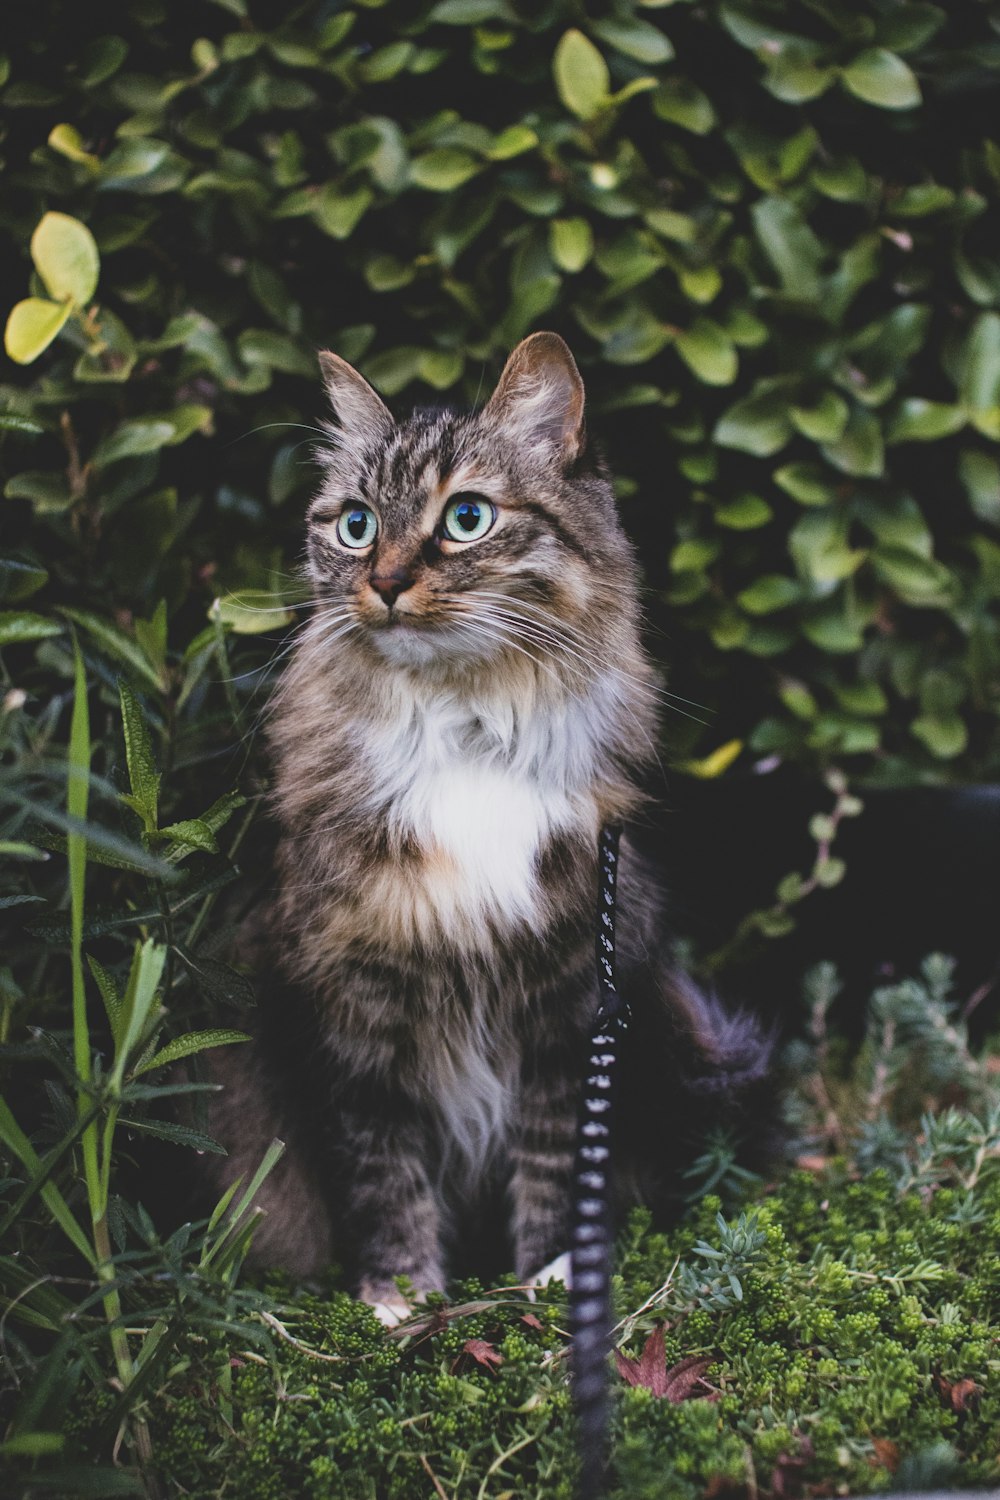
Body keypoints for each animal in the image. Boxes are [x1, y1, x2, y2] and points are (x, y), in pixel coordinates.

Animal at [209, 331, 773, 1326]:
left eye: (465, 518)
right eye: (355, 526)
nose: (385, 582)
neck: (464, 731)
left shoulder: (572, 1007)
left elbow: (557, 1168)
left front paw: (553, 1281)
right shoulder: (355, 1016)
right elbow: (383, 1174)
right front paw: (398, 1303)